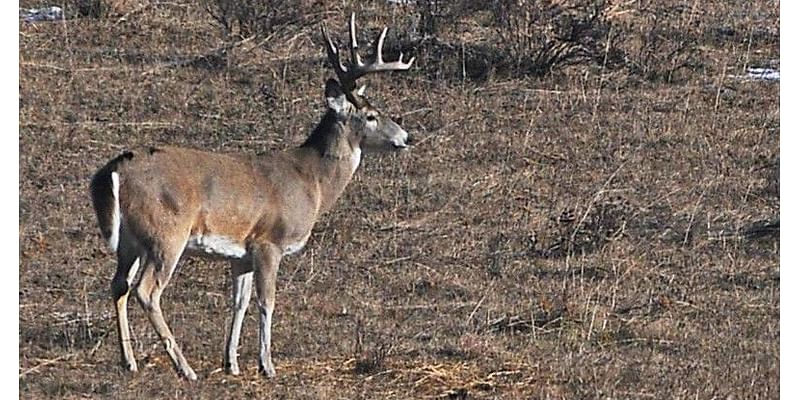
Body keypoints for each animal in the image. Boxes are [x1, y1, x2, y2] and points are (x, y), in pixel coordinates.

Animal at [90, 14, 418, 380]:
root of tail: (114, 169)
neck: (312, 181)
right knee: (147, 290)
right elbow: (267, 302)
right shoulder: (269, 242)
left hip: (131, 240)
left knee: (118, 284)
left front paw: (231, 362)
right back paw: (184, 368)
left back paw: (129, 360)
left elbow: (239, 302)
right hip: (166, 233)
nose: (406, 137)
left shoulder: (240, 254)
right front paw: (267, 365)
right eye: (372, 115)